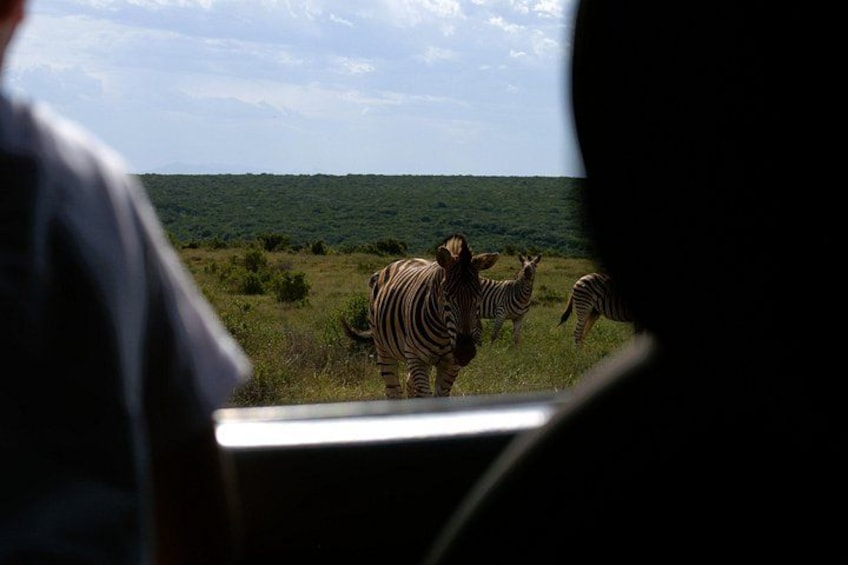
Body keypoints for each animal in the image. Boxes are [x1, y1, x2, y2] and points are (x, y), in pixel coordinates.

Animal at [341, 234, 500, 399]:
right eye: (446, 295)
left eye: (479, 296)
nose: (465, 351)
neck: (443, 333)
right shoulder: (416, 357)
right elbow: (425, 395)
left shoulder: (451, 363)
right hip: (384, 347)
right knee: (393, 389)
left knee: (409, 385)